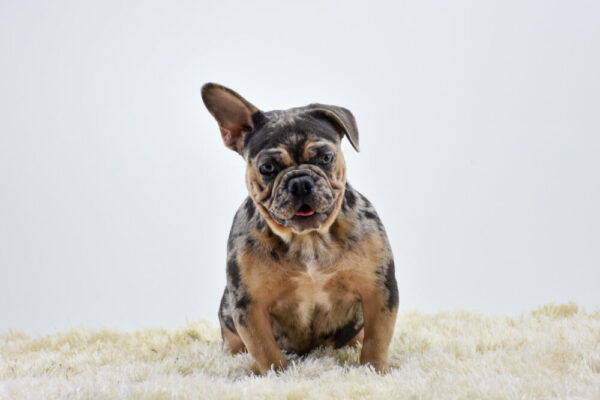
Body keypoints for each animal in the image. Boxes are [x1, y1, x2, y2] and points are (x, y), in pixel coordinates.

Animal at [202, 83, 398, 374]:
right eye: (267, 168)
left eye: (326, 157)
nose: (300, 182)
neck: (309, 239)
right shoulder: (249, 306)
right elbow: (265, 351)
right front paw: (279, 375)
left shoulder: (378, 290)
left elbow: (377, 339)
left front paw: (373, 370)